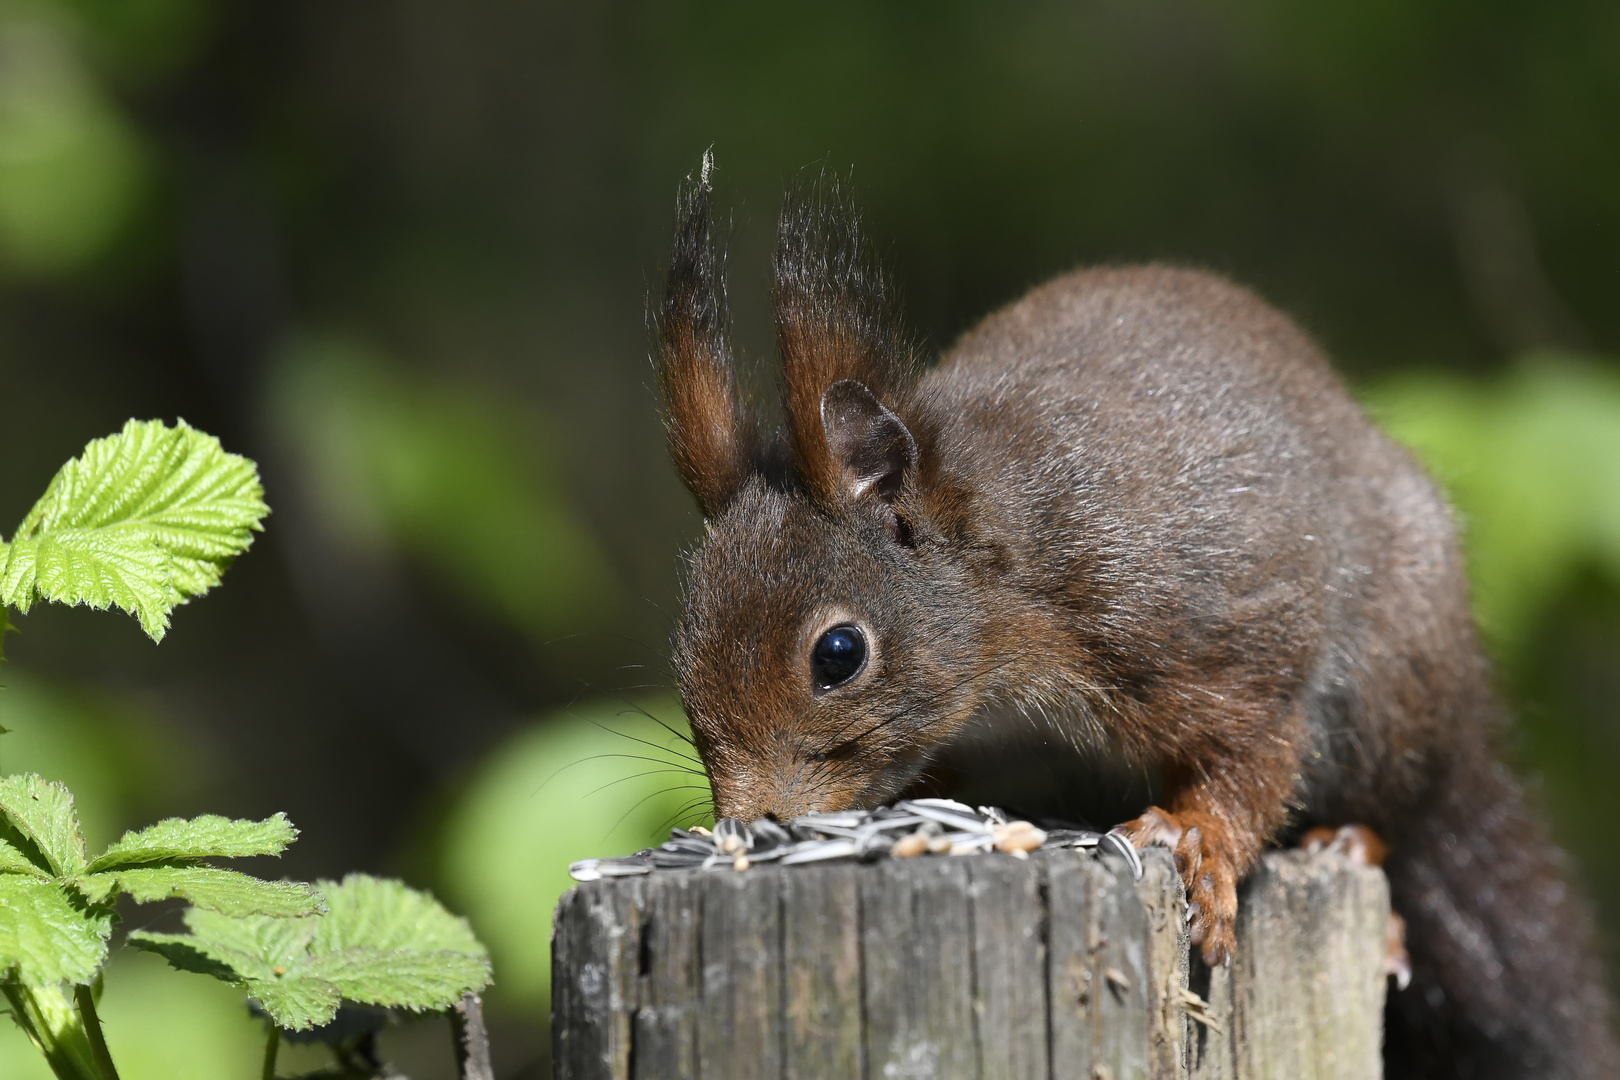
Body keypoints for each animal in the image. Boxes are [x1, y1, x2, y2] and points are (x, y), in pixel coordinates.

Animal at [651, 160, 1613, 1080]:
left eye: (840, 653)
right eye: (683, 646)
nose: (749, 820)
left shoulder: (1188, 632)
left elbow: (1257, 749)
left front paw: (1199, 840)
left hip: (1396, 689)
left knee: (1409, 812)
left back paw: (1357, 843)